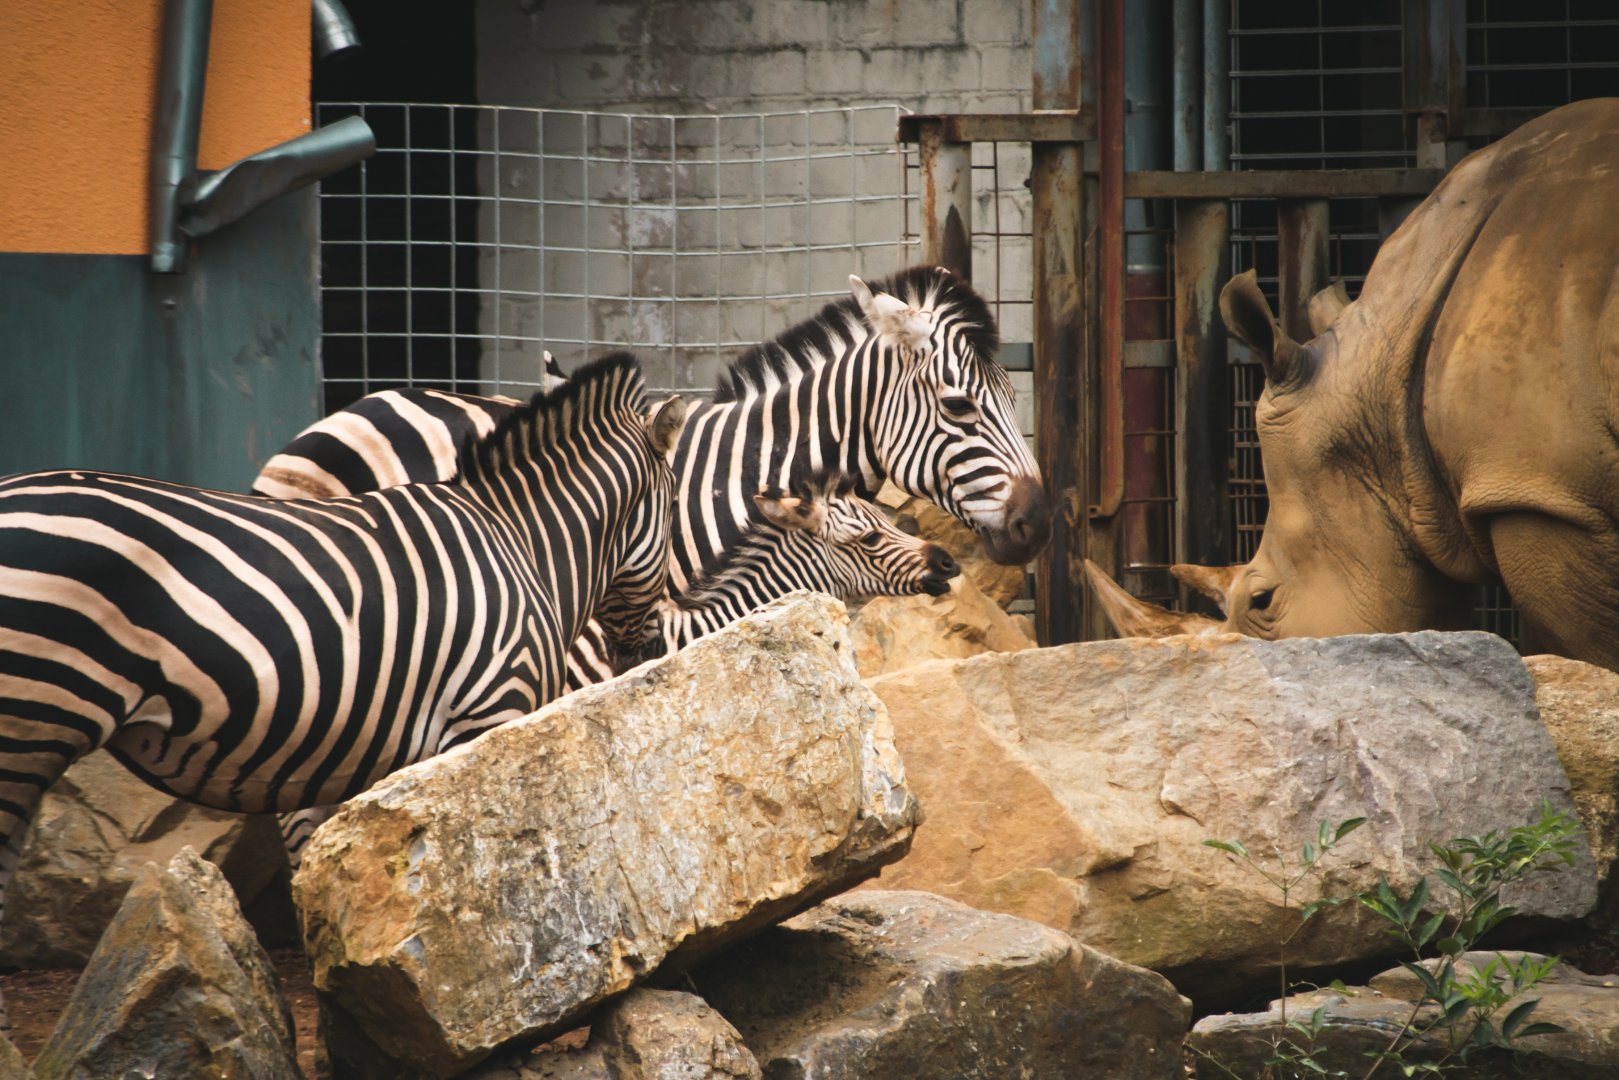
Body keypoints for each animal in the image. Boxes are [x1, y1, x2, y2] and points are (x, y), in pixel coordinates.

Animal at [0, 354, 685, 1029]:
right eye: (675, 510)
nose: (650, 651)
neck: (524, 546)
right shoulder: (489, 713)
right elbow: (488, 875)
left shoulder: (361, 746)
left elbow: (349, 885)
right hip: (34, 716)